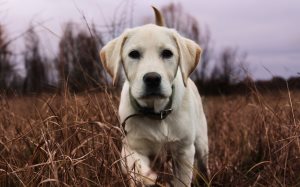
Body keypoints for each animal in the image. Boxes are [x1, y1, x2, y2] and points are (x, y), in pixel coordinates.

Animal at [99, 6, 207, 186]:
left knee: (204, 165)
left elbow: (182, 180)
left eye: (167, 53)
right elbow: (137, 167)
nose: (152, 78)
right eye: (133, 54)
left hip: (201, 144)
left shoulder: (184, 151)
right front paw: (147, 177)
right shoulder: (131, 147)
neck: (157, 113)